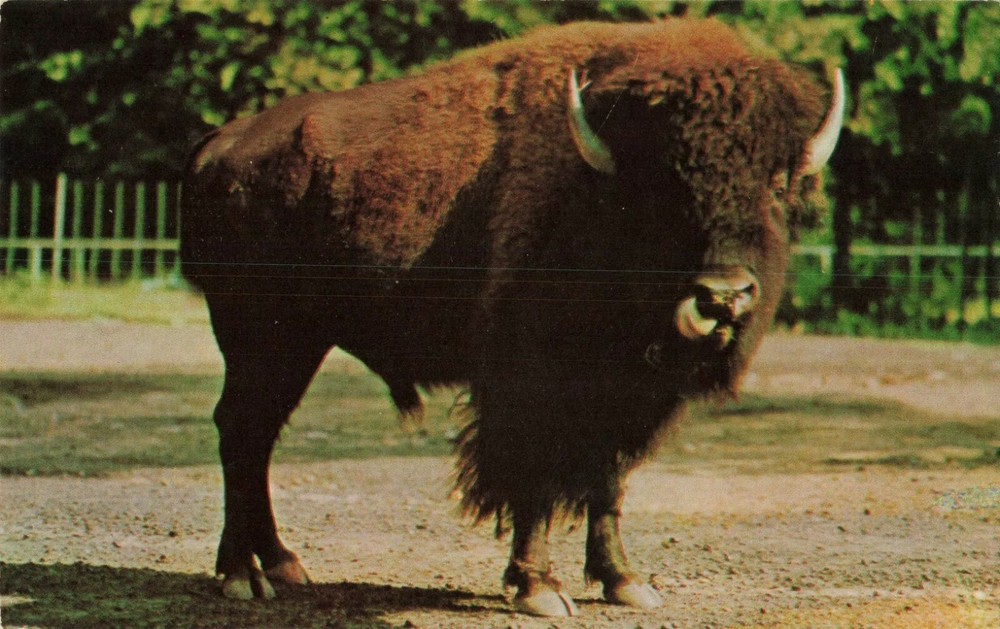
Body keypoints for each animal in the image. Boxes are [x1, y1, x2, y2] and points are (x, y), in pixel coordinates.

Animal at [181, 19, 844, 617]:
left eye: (777, 183)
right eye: (665, 183)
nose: (723, 297)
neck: (593, 187)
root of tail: (220, 146)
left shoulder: (624, 394)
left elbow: (608, 484)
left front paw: (626, 583)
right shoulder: (528, 385)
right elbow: (533, 480)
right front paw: (539, 589)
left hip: (298, 345)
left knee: (259, 436)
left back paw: (283, 565)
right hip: (259, 339)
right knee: (241, 431)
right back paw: (243, 576)